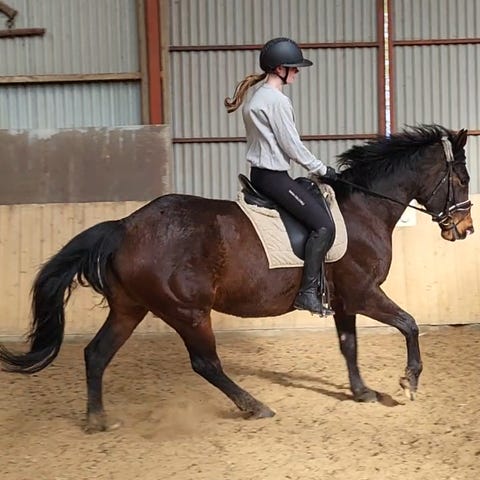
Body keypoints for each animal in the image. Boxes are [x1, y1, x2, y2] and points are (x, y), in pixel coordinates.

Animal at [0, 125, 474, 433]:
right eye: (462, 177)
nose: (464, 230)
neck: (365, 209)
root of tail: (124, 225)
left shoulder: (342, 300)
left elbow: (349, 346)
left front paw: (361, 392)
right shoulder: (363, 293)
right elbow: (409, 324)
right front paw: (409, 382)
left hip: (130, 308)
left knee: (97, 354)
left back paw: (97, 419)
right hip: (188, 311)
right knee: (205, 363)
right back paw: (254, 406)